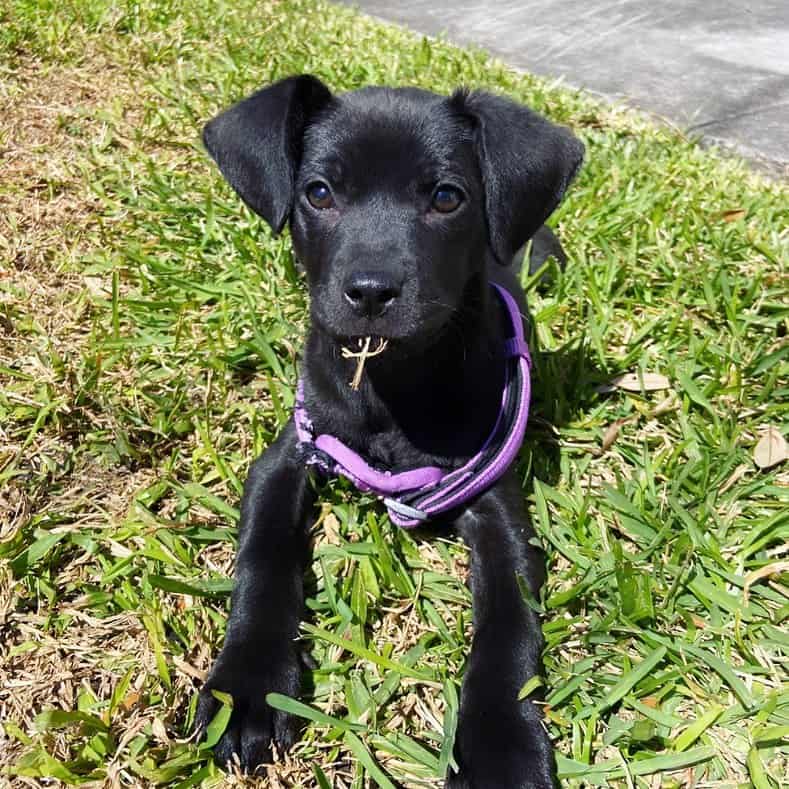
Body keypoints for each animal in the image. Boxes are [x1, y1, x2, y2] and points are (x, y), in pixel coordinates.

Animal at [194, 75, 580, 788]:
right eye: (319, 192)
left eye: (447, 197)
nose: (371, 292)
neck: (391, 379)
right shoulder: (291, 454)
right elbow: (262, 560)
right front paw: (249, 686)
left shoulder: (492, 499)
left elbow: (508, 625)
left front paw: (501, 745)